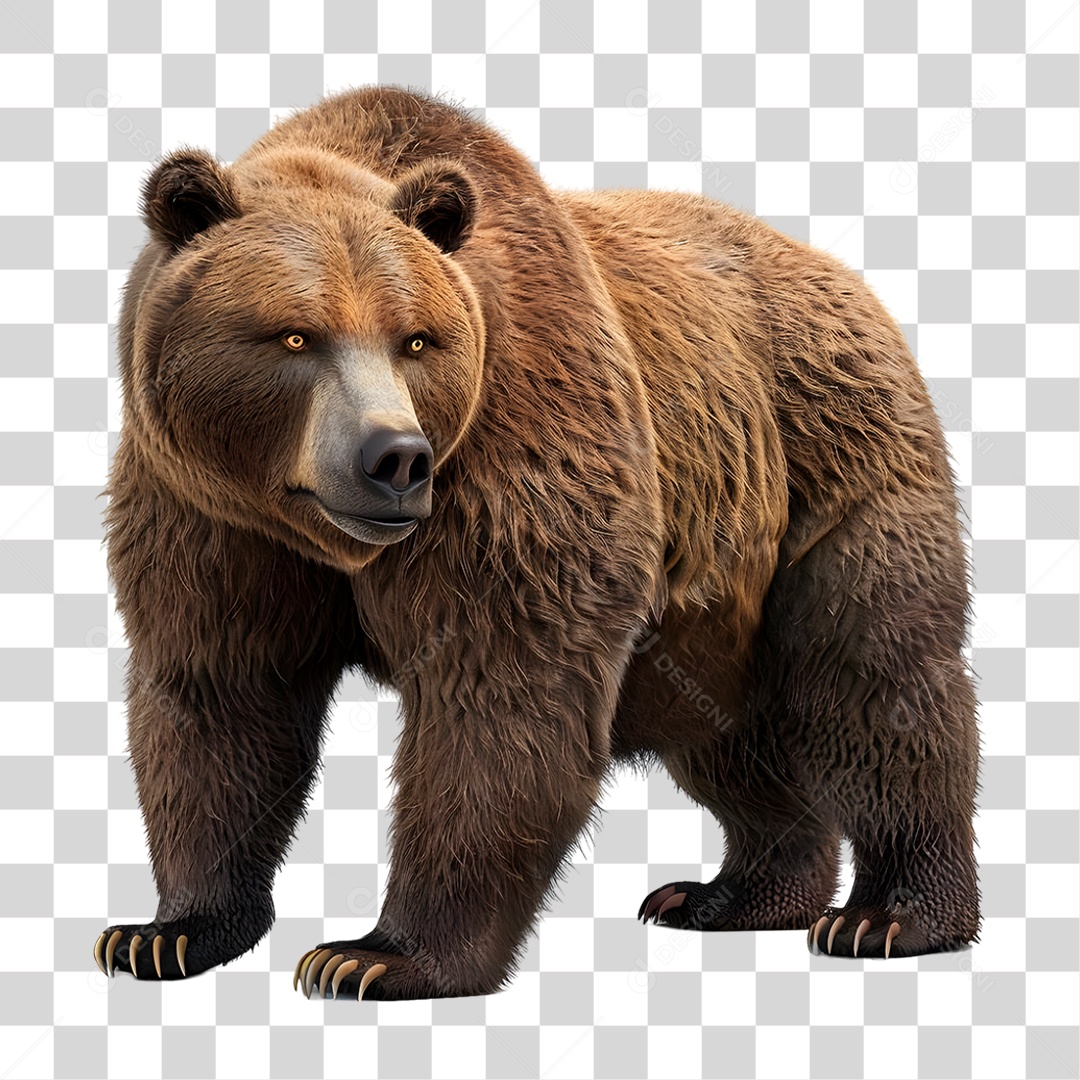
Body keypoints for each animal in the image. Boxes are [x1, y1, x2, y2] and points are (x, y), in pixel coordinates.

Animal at [93, 86, 980, 1000]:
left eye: (417, 338)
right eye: (295, 335)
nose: (395, 458)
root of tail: (848, 279)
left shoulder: (517, 438)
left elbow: (501, 692)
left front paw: (374, 956)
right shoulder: (208, 516)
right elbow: (221, 695)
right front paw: (167, 933)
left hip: (830, 458)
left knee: (873, 676)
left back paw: (887, 915)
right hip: (714, 600)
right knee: (732, 737)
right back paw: (731, 894)